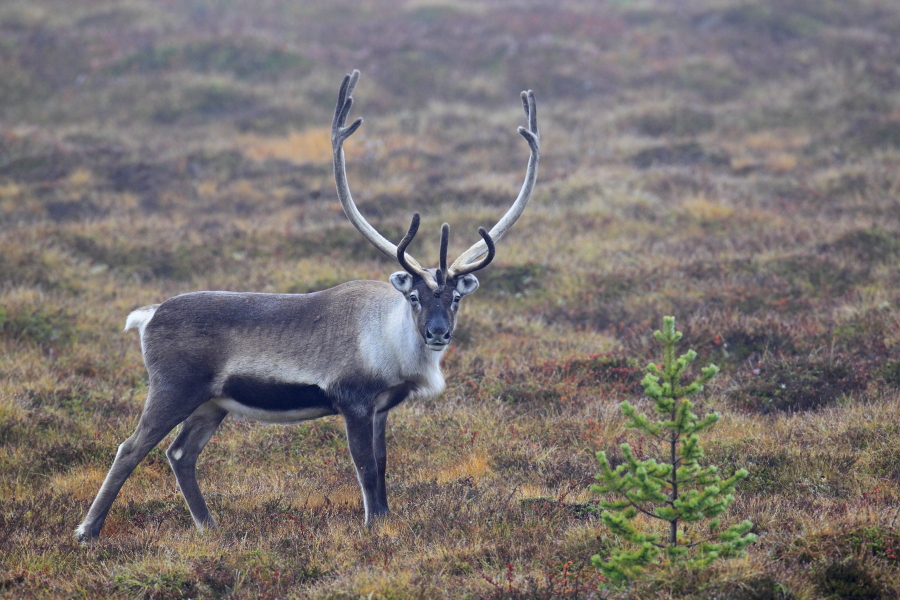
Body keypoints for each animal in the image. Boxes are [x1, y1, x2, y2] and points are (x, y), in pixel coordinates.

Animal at [75, 70, 539, 541]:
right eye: (414, 296)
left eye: (456, 297)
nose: (438, 332)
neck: (390, 341)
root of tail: (148, 315)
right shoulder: (352, 400)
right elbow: (365, 469)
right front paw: (372, 527)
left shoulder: (380, 407)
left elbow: (383, 466)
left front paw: (386, 521)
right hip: (173, 388)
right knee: (130, 447)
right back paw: (88, 530)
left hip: (212, 403)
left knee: (180, 453)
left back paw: (209, 526)